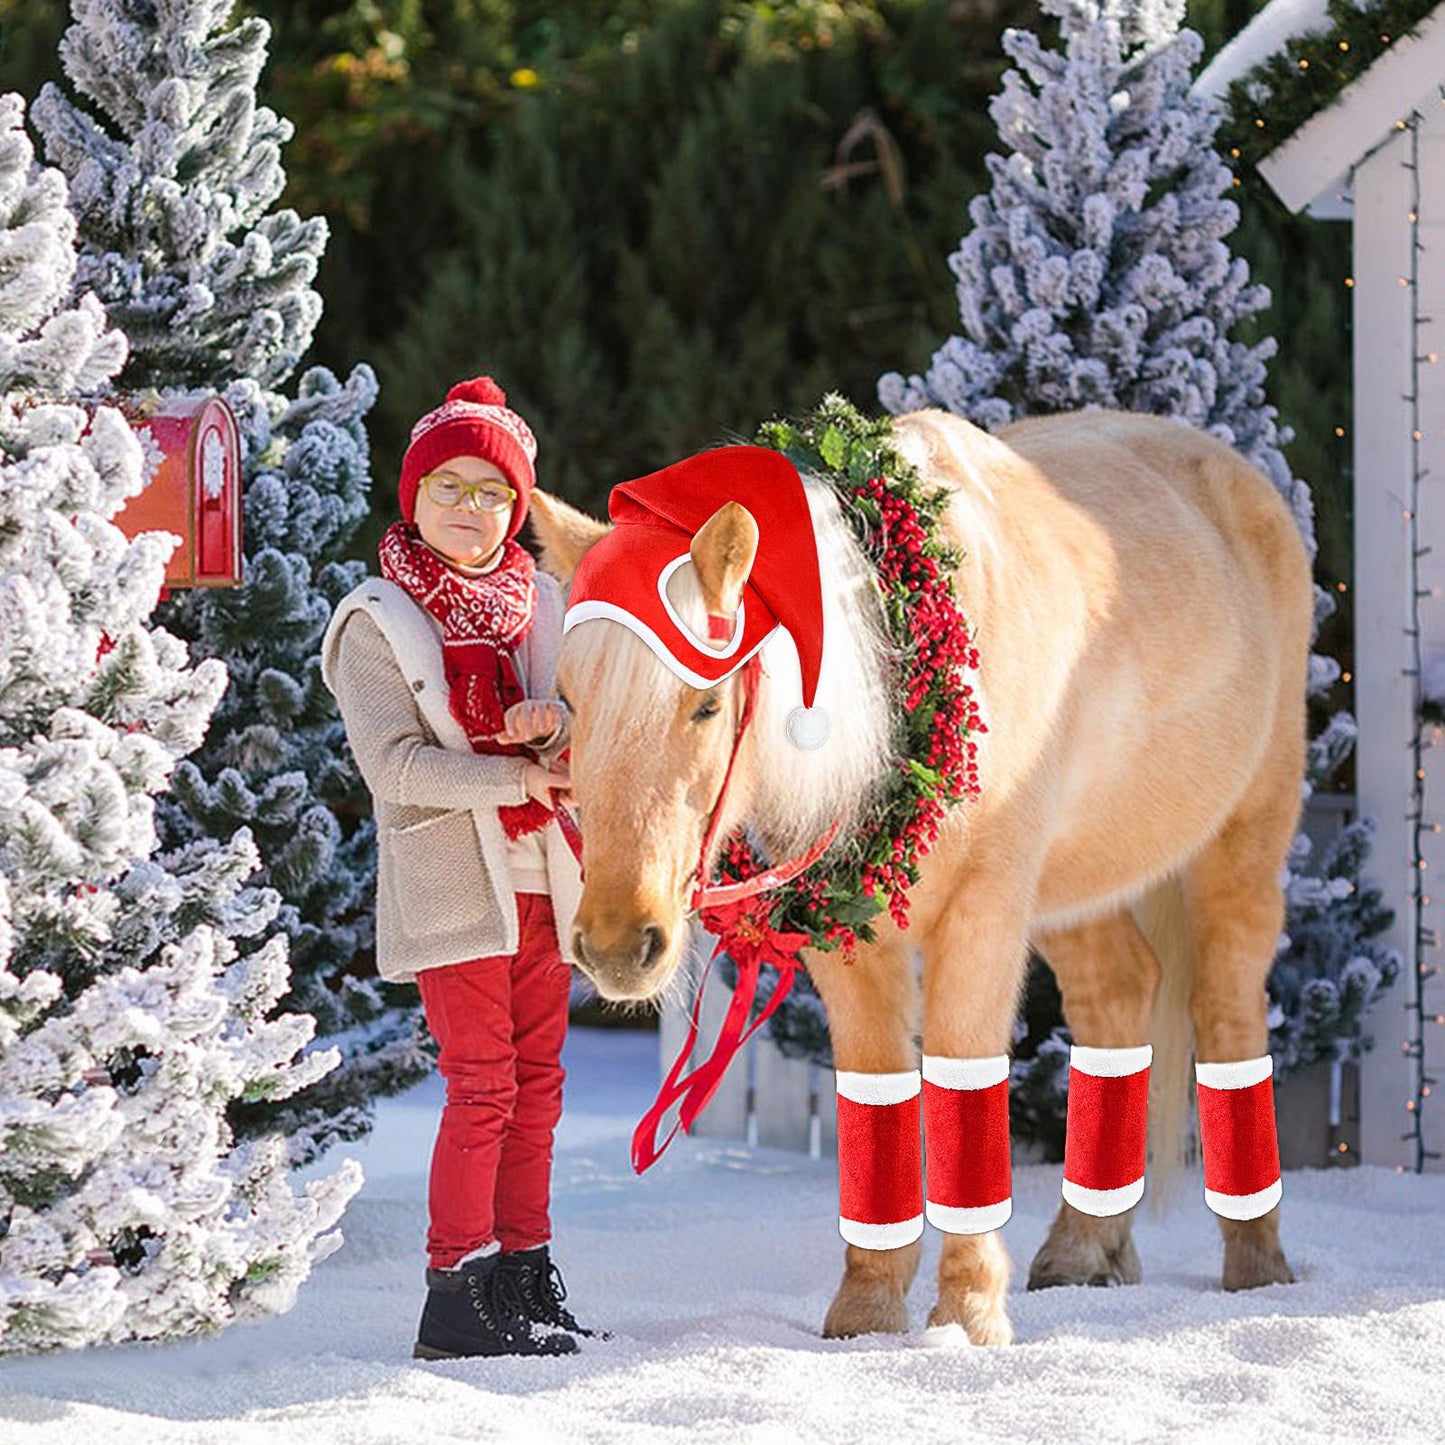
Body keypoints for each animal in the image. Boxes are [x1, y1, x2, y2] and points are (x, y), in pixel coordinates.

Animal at [527, 407, 1312, 1345]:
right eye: (571, 701)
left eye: (707, 703)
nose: (616, 944)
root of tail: (1236, 473)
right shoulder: (845, 937)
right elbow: (878, 1092)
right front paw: (867, 1311)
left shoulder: (982, 914)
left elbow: (962, 1084)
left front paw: (968, 1315)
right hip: (1075, 887)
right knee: (1120, 997)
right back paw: (1084, 1247)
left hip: (1243, 840)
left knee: (1226, 1011)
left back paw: (1257, 1264)